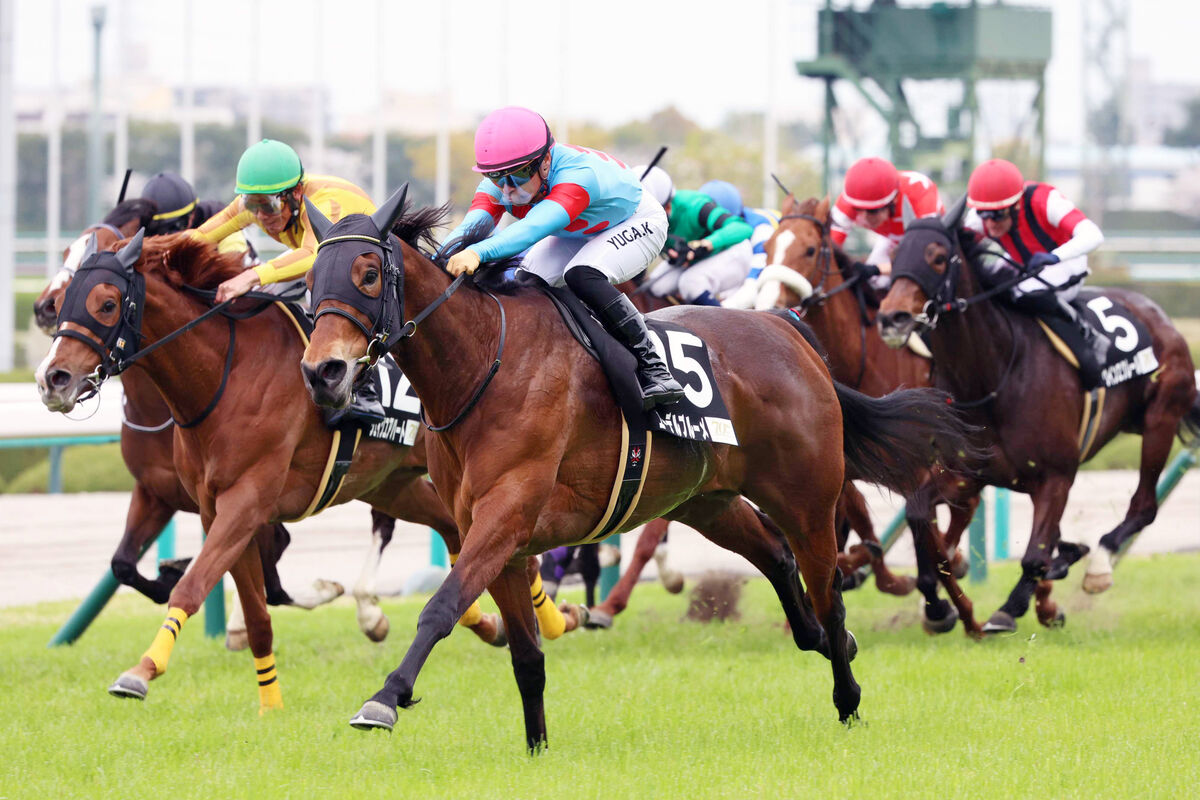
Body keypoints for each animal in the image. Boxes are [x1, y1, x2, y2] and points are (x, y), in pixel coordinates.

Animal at [32, 231, 580, 714]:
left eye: (106, 304)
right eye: (63, 302)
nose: (51, 379)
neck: (225, 374)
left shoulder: (246, 502)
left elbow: (194, 585)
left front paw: (141, 671)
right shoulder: (206, 506)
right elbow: (251, 612)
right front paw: (270, 704)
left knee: (503, 546)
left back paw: (551, 619)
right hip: (392, 484)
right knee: (459, 535)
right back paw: (505, 623)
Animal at [297, 188, 974, 753]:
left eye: (366, 274)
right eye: (308, 281)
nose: (322, 372)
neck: (483, 366)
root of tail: (786, 328)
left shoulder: (506, 516)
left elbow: (441, 607)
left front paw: (384, 699)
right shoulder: (496, 537)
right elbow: (526, 657)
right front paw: (537, 747)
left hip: (806, 497)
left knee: (828, 589)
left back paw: (849, 695)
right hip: (707, 500)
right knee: (777, 558)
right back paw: (824, 639)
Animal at [873, 199, 1200, 633]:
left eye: (938, 257)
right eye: (894, 257)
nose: (891, 318)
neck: (994, 374)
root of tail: (1159, 315)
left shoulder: (1057, 475)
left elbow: (1031, 555)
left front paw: (1008, 608)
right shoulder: (967, 473)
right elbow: (917, 514)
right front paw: (937, 605)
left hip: (1160, 419)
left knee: (1143, 505)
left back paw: (1098, 565)